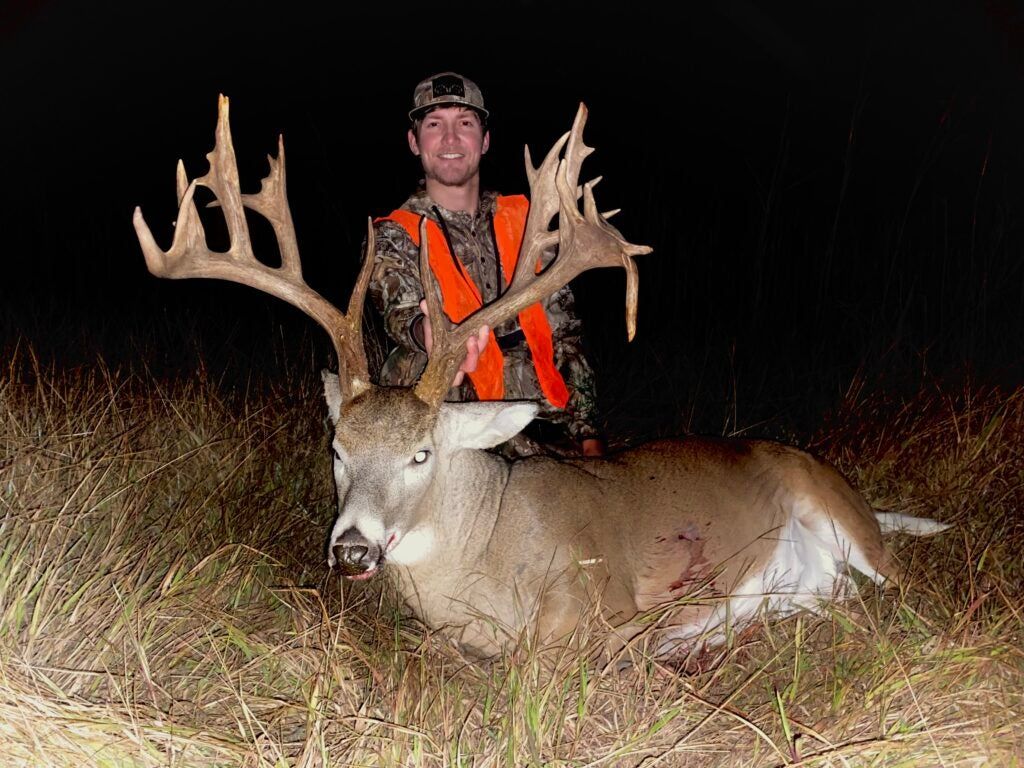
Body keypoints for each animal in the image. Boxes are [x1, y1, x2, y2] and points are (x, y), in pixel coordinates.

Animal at [133, 96, 949, 660]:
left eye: (422, 454)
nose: (352, 550)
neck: (486, 563)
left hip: (841, 515)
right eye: (337, 449)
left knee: (908, 592)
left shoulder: (603, 598)